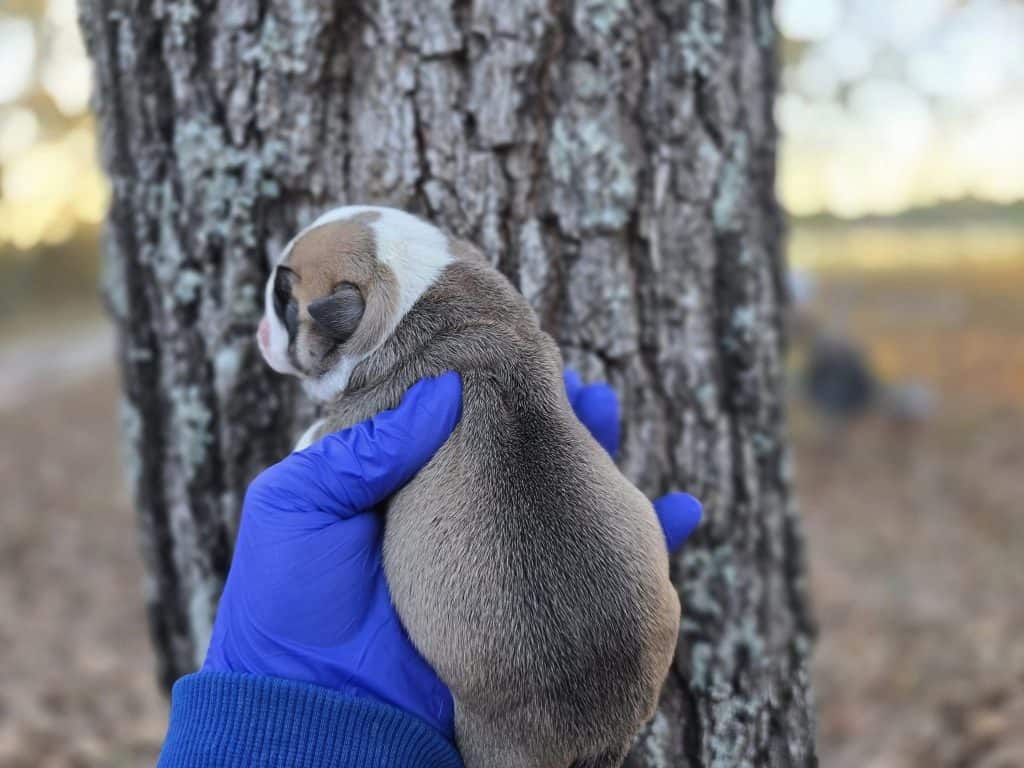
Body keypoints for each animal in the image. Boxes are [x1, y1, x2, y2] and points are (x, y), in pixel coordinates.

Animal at [256, 205, 679, 768]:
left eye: (284, 297)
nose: (259, 330)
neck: (415, 288)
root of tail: (597, 734)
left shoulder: (355, 412)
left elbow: (319, 432)